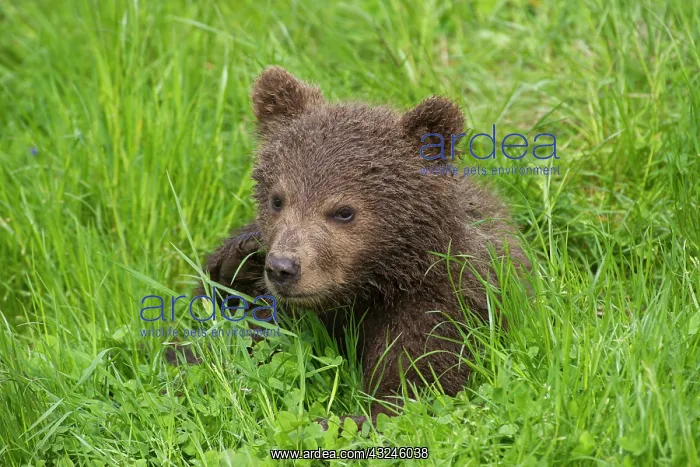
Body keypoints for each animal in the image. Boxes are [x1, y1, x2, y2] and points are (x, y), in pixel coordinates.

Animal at [201, 66, 528, 427]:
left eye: (344, 211)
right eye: (277, 199)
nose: (283, 268)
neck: (373, 284)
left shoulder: (443, 304)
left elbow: (412, 389)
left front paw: (335, 421)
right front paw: (237, 265)